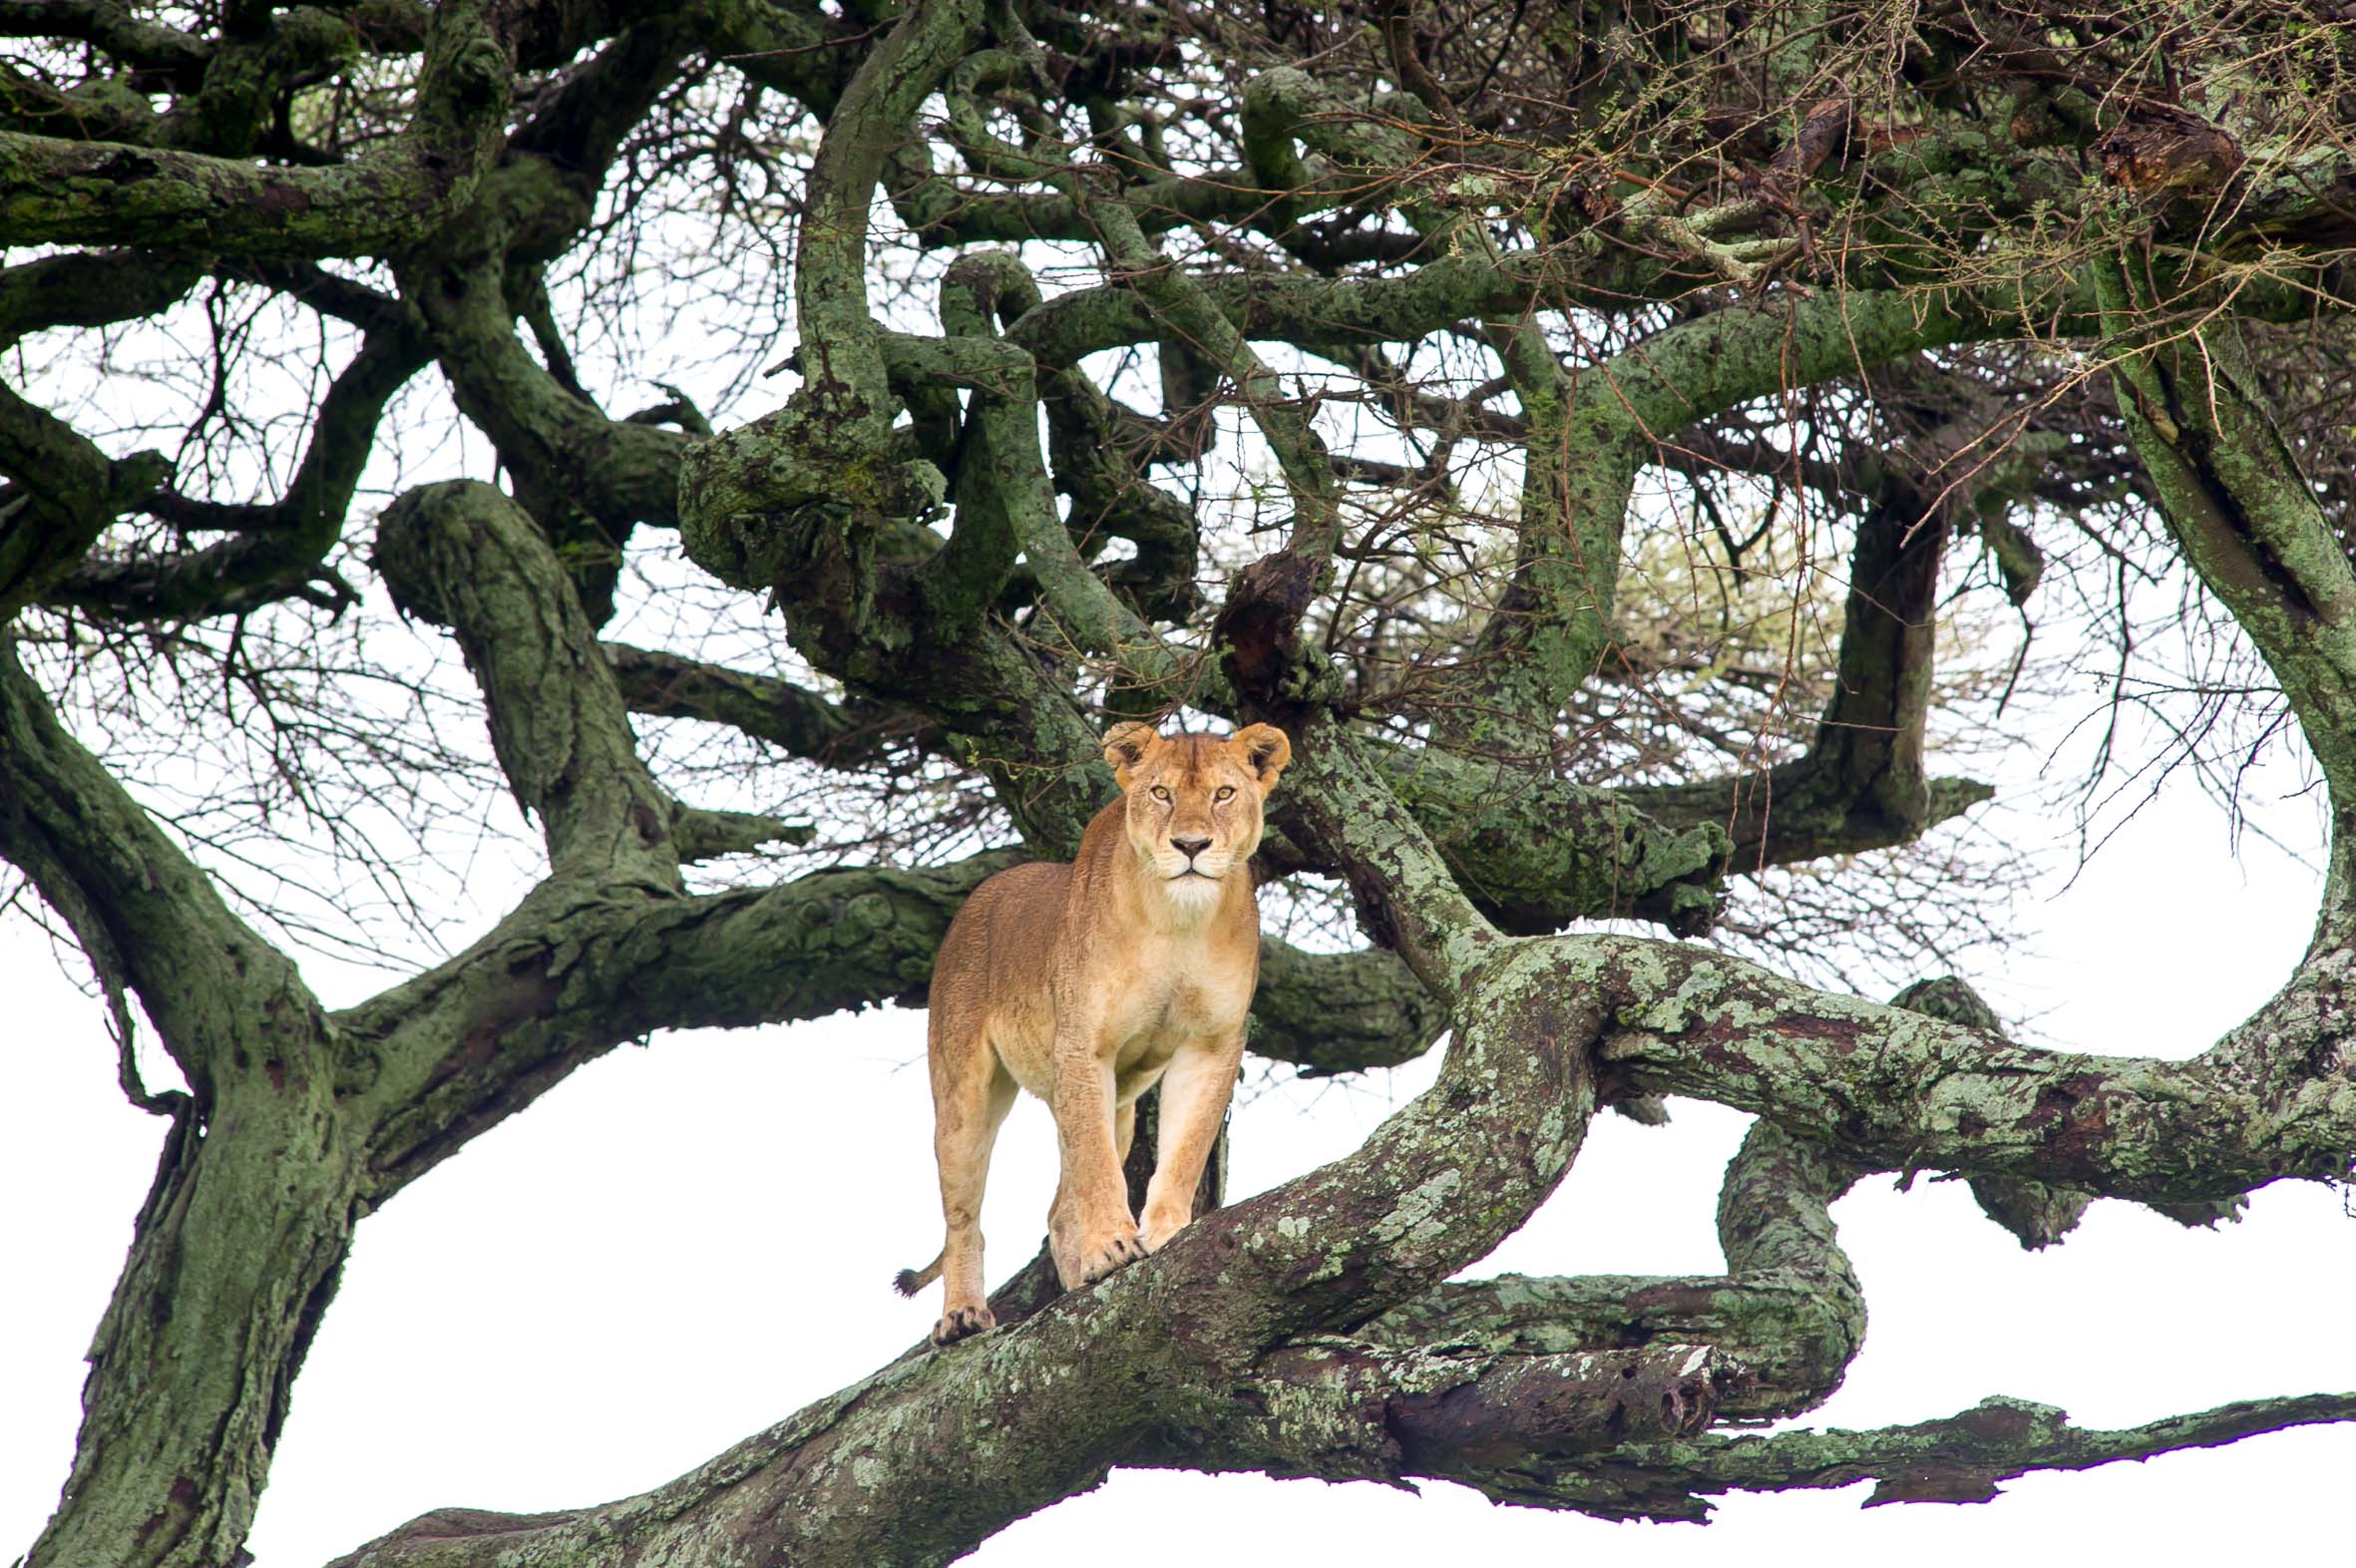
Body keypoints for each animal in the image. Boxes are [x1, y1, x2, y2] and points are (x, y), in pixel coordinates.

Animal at [894, 720, 1292, 1346]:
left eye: (1224, 794)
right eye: (1161, 793)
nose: (1191, 846)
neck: (1179, 919)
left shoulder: (1211, 1046)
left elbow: (1183, 1150)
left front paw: (1164, 1232)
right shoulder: (1085, 1046)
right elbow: (1100, 1170)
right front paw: (1110, 1248)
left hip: (1119, 1104)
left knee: (1061, 1206)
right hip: (963, 1094)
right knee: (963, 1215)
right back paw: (962, 1315)